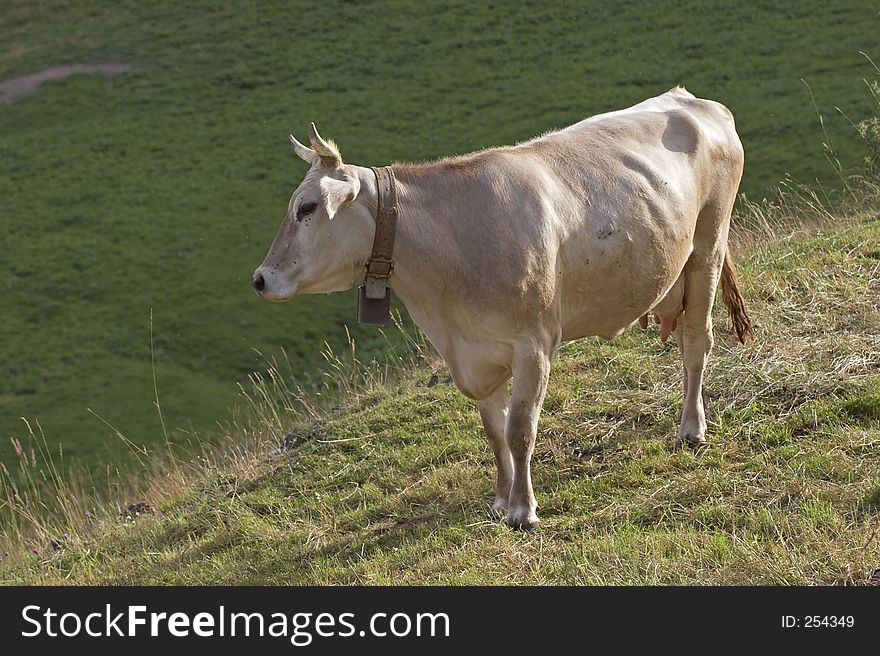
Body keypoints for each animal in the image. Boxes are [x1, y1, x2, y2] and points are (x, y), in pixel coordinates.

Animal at [251, 87, 752, 532]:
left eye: (307, 207)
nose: (260, 278)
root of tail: (693, 100)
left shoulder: (534, 343)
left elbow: (520, 429)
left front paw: (523, 510)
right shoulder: (471, 355)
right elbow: (494, 433)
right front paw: (500, 499)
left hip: (708, 244)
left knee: (697, 340)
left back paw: (692, 428)